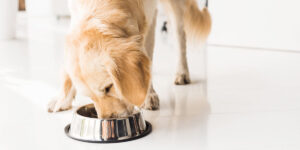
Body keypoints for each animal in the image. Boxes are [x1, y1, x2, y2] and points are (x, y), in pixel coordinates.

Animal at [47, 0, 211, 118]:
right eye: (89, 96)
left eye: (108, 88)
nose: (108, 119)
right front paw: (62, 99)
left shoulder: (148, 17)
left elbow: (147, 55)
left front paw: (148, 95)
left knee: (179, 34)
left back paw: (182, 72)